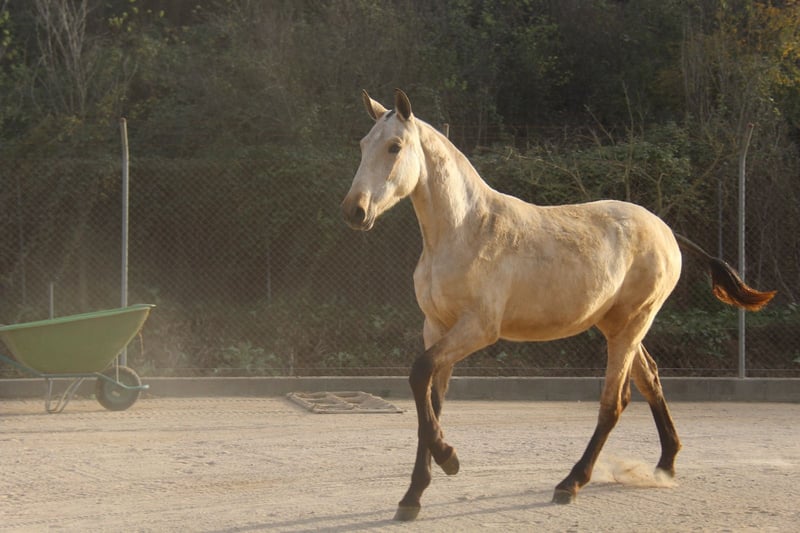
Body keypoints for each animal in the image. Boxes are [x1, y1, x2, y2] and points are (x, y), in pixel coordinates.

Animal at [340, 89, 776, 522]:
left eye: (395, 147)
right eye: (362, 144)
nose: (355, 211)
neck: (466, 229)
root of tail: (666, 230)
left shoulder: (477, 328)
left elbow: (419, 374)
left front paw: (449, 459)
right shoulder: (436, 326)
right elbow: (430, 399)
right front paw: (412, 496)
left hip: (632, 325)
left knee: (613, 403)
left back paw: (571, 483)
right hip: (618, 326)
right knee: (649, 379)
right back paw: (665, 465)